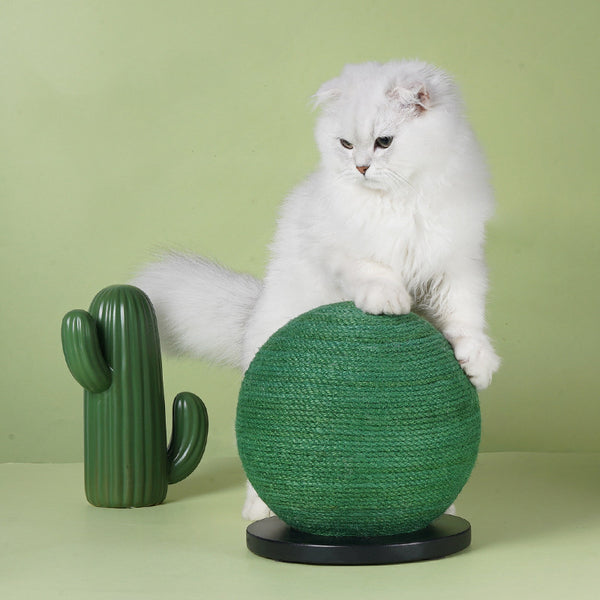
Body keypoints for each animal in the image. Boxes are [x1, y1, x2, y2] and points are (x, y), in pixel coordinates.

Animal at [134, 59, 500, 520]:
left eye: (383, 142)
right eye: (346, 144)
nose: (360, 168)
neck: (401, 199)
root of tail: (253, 314)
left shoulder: (457, 264)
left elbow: (466, 319)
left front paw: (477, 364)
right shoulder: (335, 246)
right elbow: (372, 269)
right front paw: (388, 300)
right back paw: (259, 511)